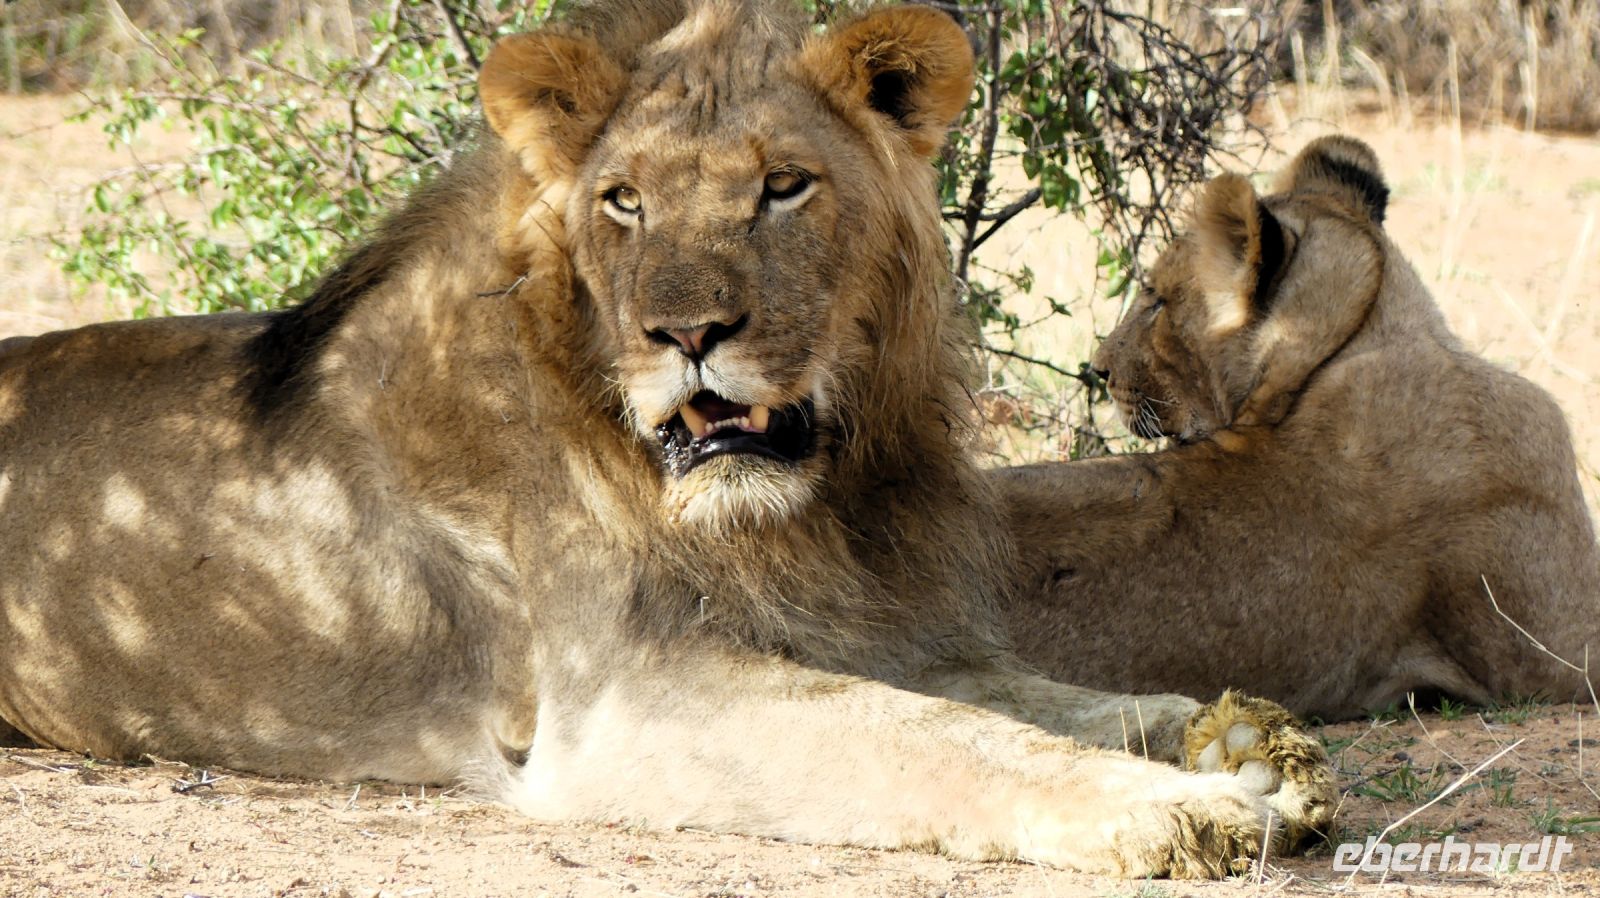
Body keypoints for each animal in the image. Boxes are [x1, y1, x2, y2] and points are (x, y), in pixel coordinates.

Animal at [0, 0, 1334, 877]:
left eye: (785, 185)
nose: (685, 331)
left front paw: (1242, 741)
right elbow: (950, 739)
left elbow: (1036, 702)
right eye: (624, 201)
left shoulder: (875, 625)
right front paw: (1181, 810)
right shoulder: (626, 702)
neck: (807, 503)